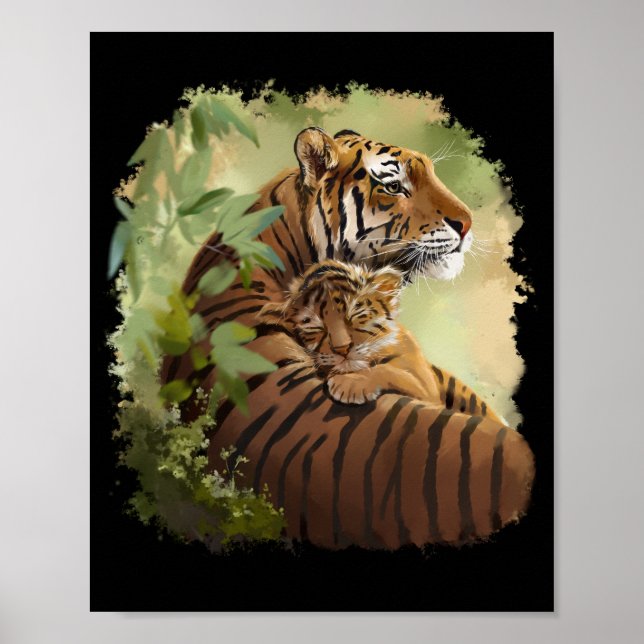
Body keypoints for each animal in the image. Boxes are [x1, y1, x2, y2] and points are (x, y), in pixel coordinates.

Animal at [258, 259, 501, 421]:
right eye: (314, 325)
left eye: (356, 313)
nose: (342, 348)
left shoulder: (426, 389)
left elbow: (389, 370)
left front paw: (349, 384)